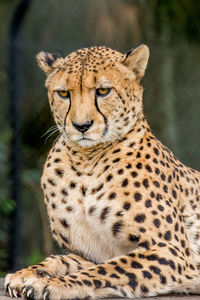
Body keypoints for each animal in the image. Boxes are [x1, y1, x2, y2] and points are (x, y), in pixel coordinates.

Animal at [4, 45, 200, 300]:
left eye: (103, 91)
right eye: (63, 93)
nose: (82, 126)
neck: (85, 163)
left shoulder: (171, 250)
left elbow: (108, 270)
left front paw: (50, 284)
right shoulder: (91, 252)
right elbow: (60, 260)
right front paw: (27, 273)